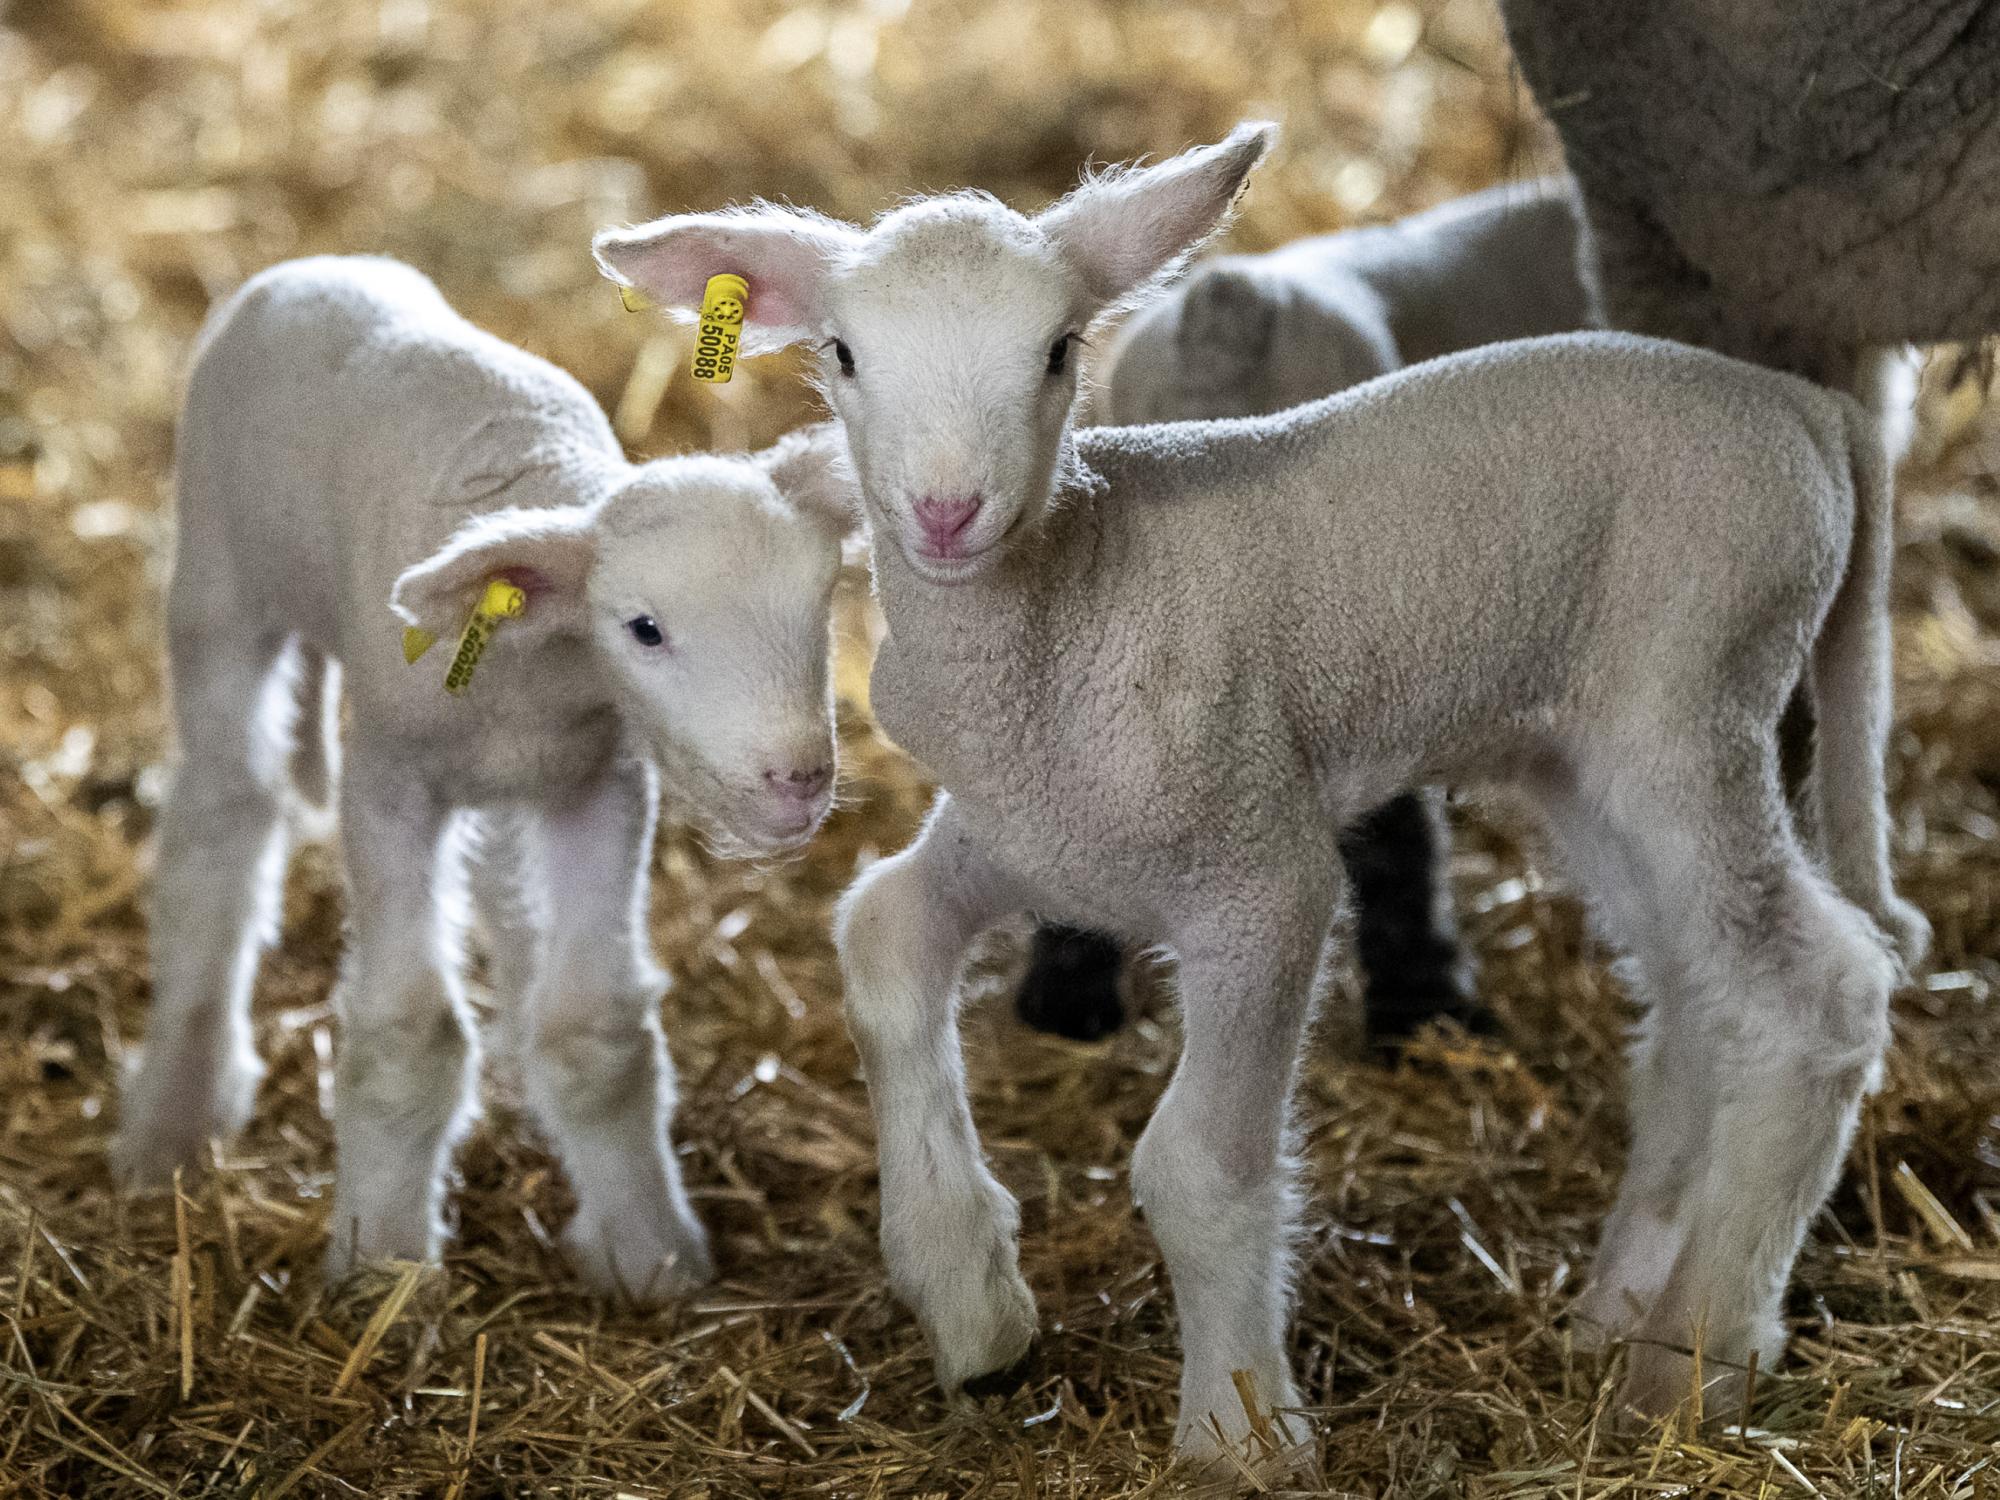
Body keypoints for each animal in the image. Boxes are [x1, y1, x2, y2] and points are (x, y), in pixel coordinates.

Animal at [111, 255, 851, 1304]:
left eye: (826, 599)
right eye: (644, 629)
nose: (797, 780)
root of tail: (317, 266)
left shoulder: (599, 782)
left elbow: (596, 1034)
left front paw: (649, 1255)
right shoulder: (388, 785)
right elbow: (407, 1036)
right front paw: (383, 1264)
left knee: (503, 881)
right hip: (219, 585)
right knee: (224, 822)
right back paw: (173, 1114)